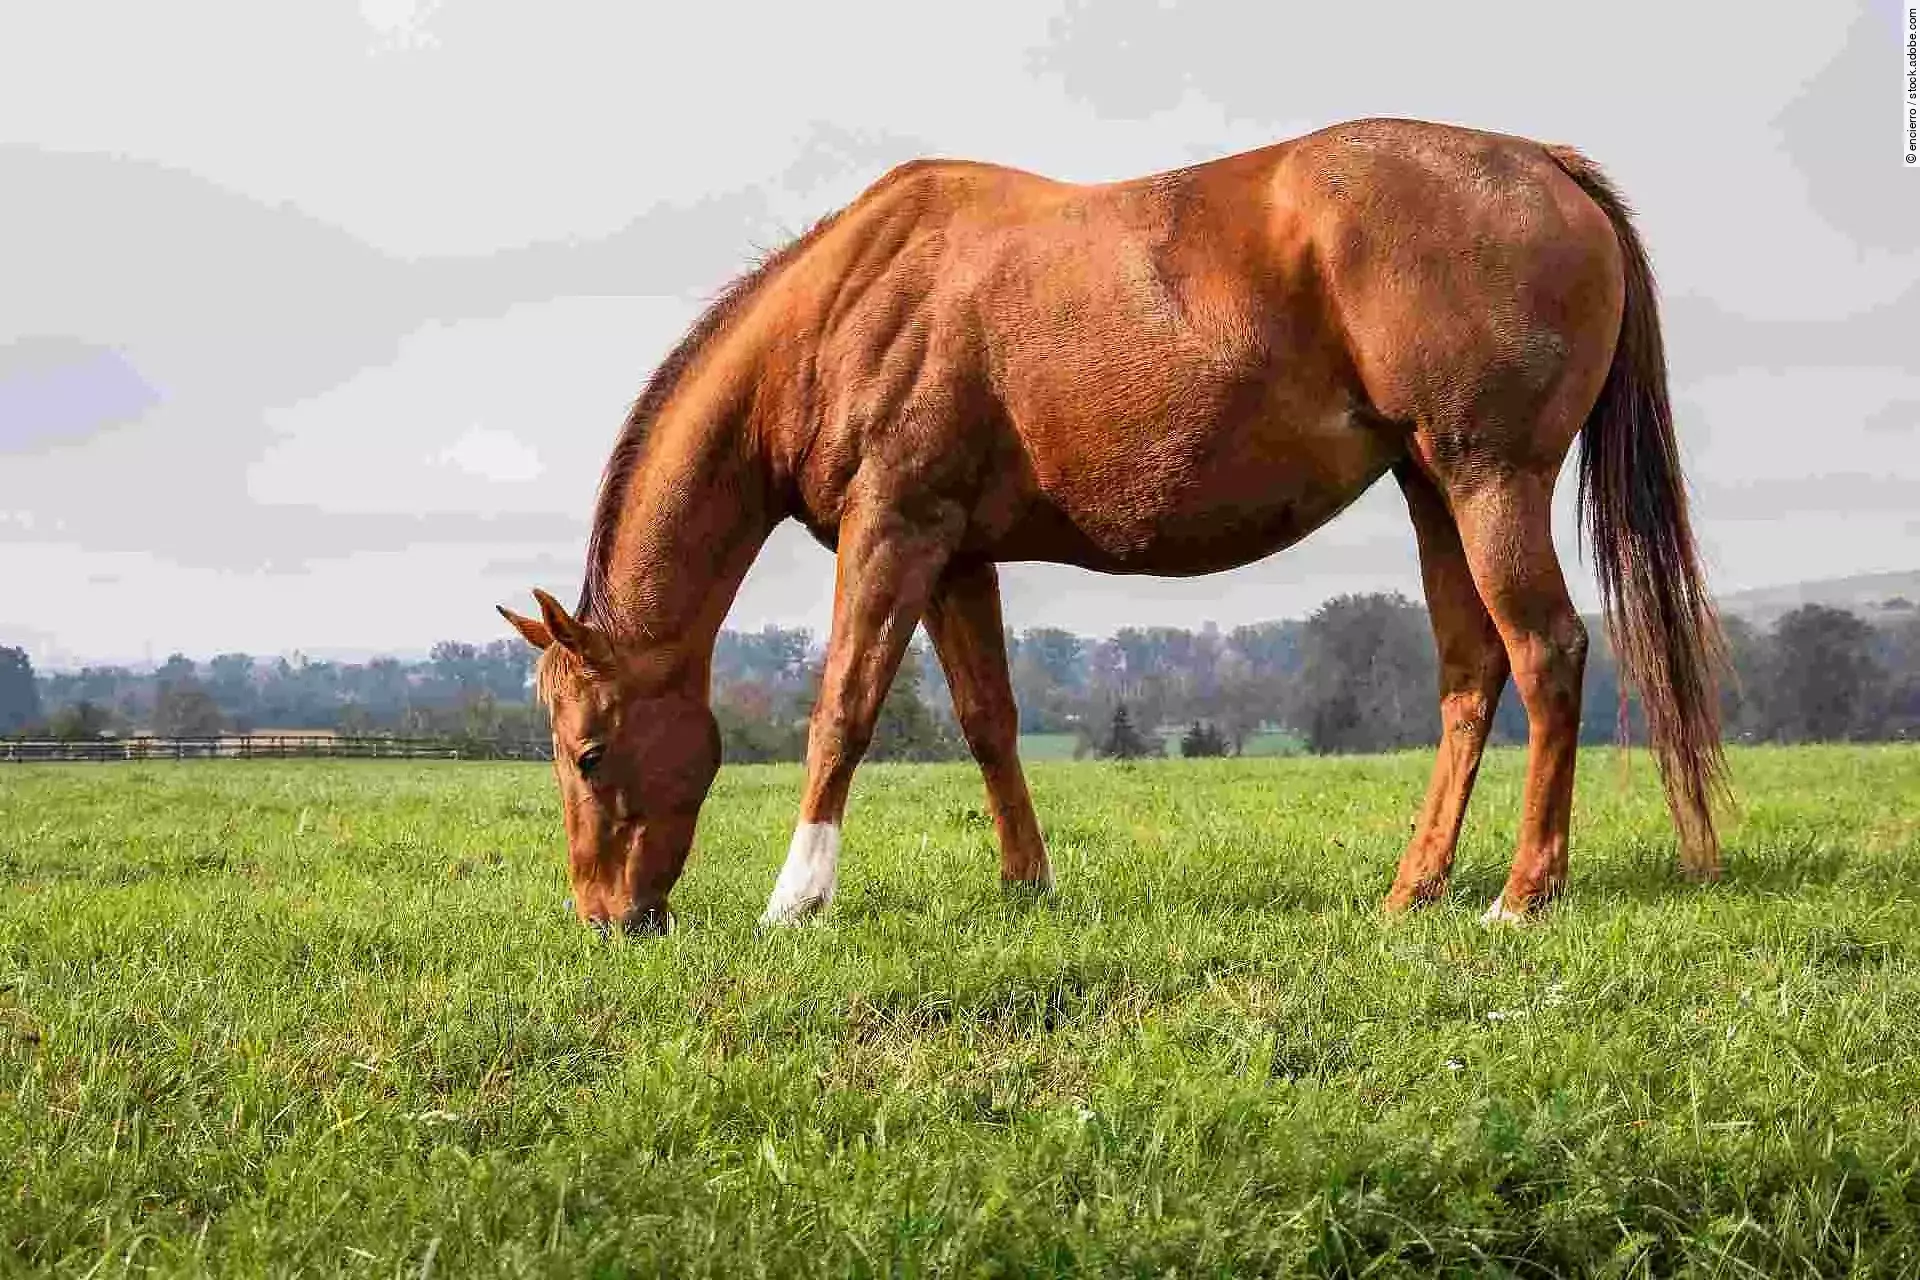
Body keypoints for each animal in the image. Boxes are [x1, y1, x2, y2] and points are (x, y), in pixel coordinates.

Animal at [498, 116, 1727, 937]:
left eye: (588, 750)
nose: (605, 917)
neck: (849, 301)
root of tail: (1540, 163)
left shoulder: (891, 531)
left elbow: (842, 709)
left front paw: (798, 897)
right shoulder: (956, 553)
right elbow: (988, 721)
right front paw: (1026, 883)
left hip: (1489, 482)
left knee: (1547, 652)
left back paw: (1523, 895)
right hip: (1434, 489)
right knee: (1473, 672)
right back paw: (1414, 886)